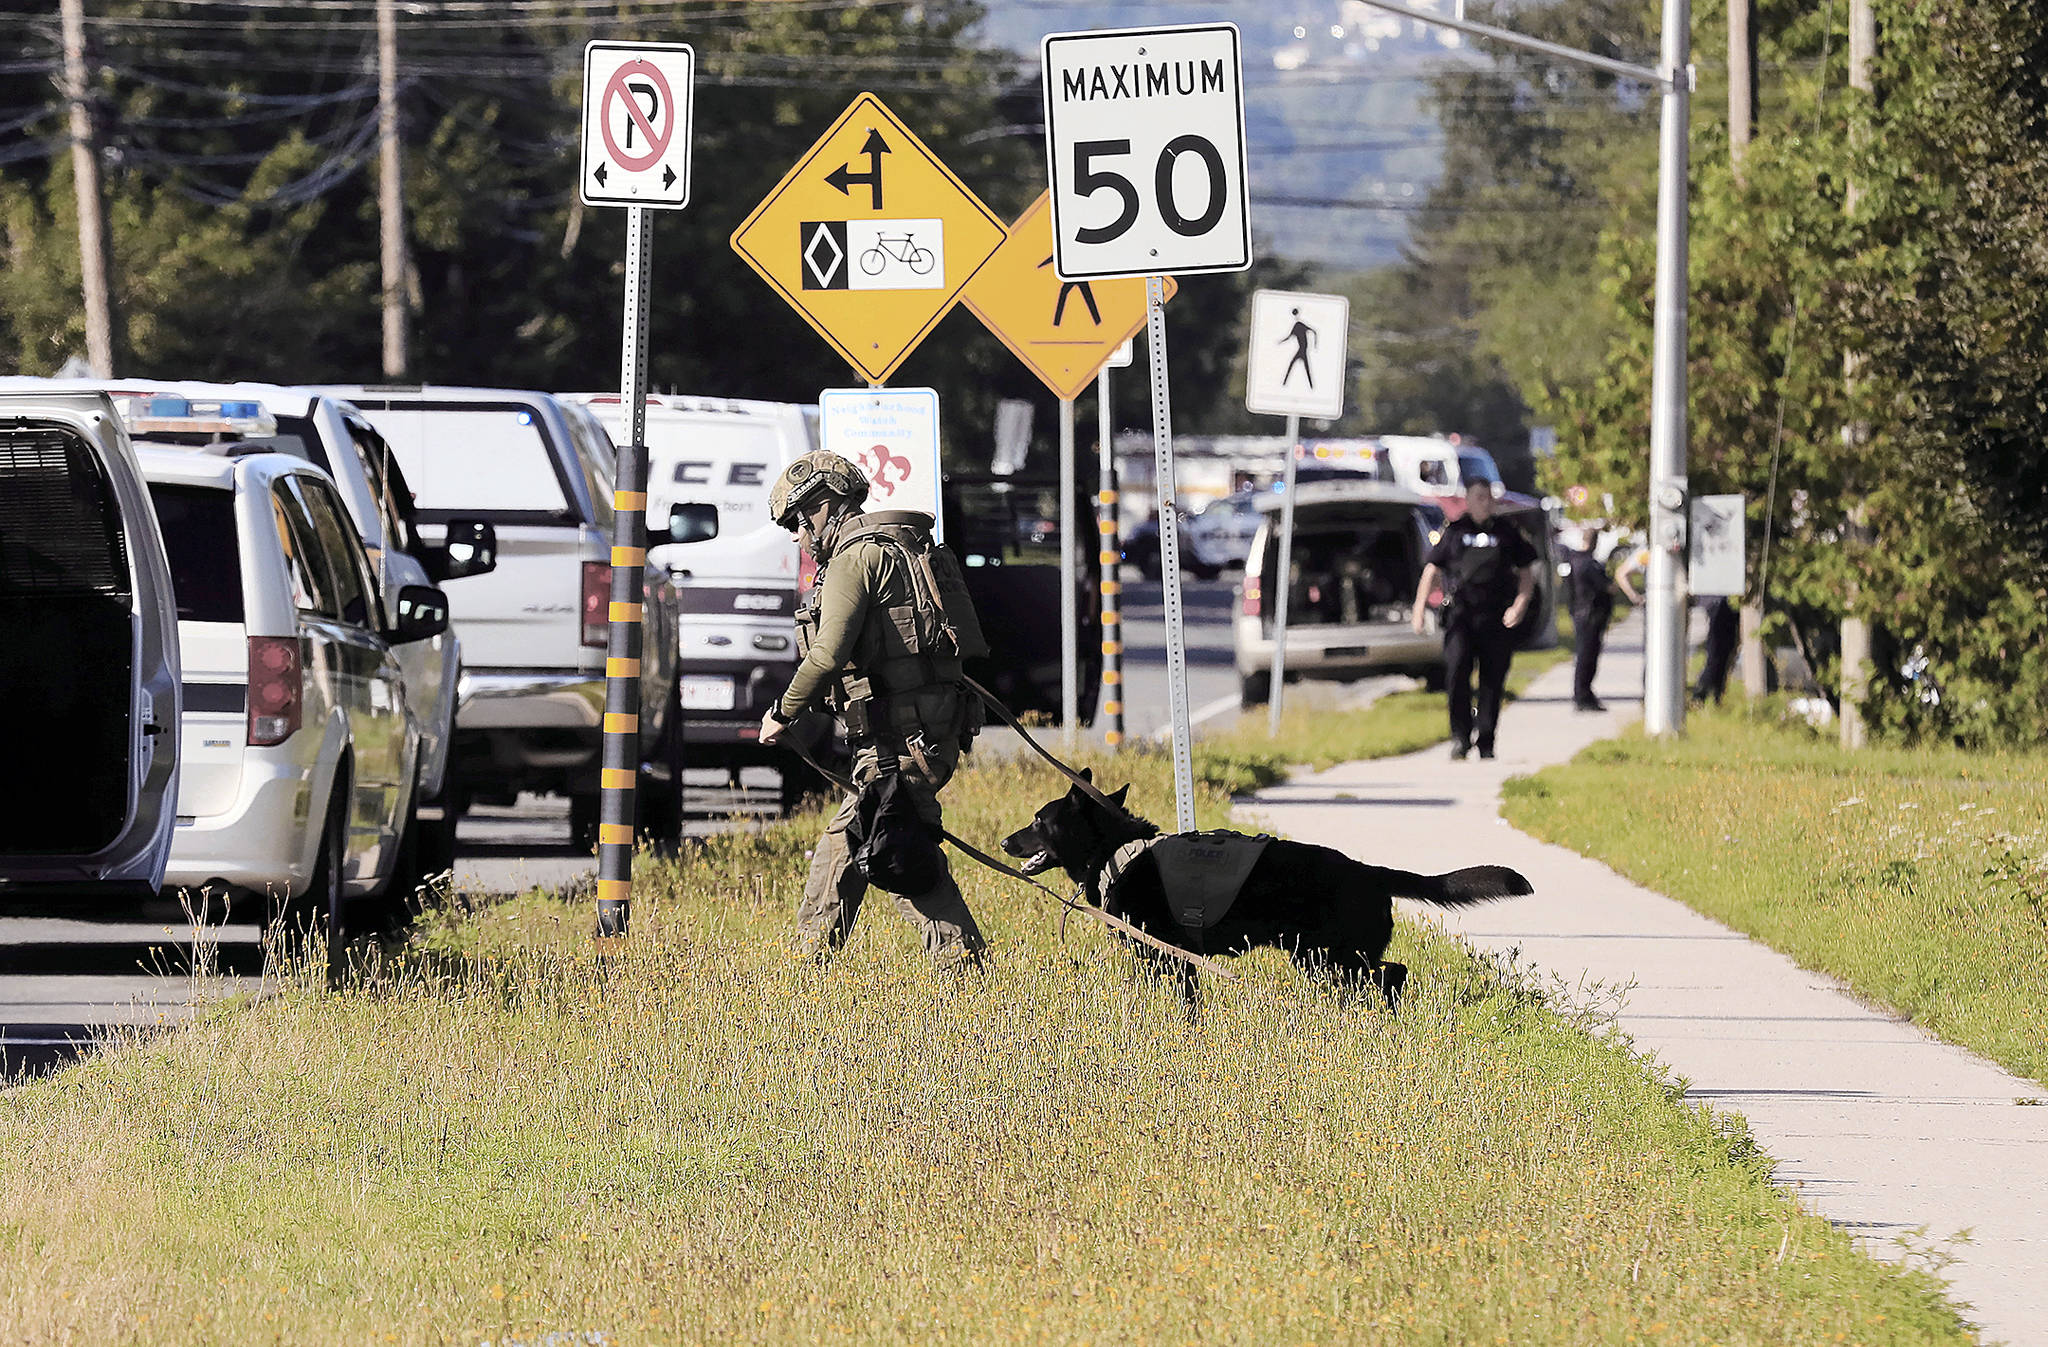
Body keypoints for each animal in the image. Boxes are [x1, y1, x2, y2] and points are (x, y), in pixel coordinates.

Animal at [1003, 769, 1540, 1003]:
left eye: (1038, 820)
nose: (1005, 840)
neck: (1118, 851)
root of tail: (1367, 870)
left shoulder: (1166, 957)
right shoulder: (1182, 962)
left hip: (1330, 958)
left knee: (1392, 975)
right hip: (1322, 959)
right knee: (1389, 976)